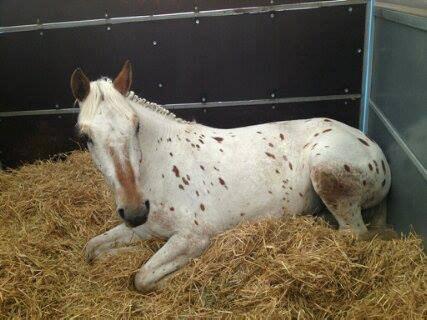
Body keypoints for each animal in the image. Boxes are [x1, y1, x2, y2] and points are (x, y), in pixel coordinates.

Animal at [69, 60, 392, 292]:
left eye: (136, 125)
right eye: (85, 136)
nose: (135, 210)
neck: (159, 168)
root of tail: (374, 148)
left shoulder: (193, 237)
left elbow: (143, 277)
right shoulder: (148, 226)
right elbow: (91, 249)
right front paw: (118, 255)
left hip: (325, 172)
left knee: (353, 233)